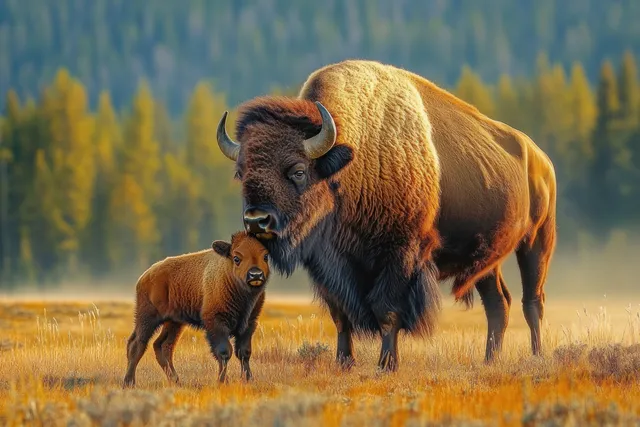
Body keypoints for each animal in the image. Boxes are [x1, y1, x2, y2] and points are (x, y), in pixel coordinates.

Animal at [214, 59, 557, 372]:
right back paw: (489, 360)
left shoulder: (399, 256)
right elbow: (341, 316)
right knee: (498, 303)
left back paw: (537, 356)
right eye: (242, 173)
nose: (256, 221)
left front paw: (386, 364)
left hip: (537, 241)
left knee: (532, 301)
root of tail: (540, 158)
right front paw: (344, 362)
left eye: (298, 171)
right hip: (488, 261)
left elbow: (387, 311)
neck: (351, 160)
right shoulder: (327, 266)